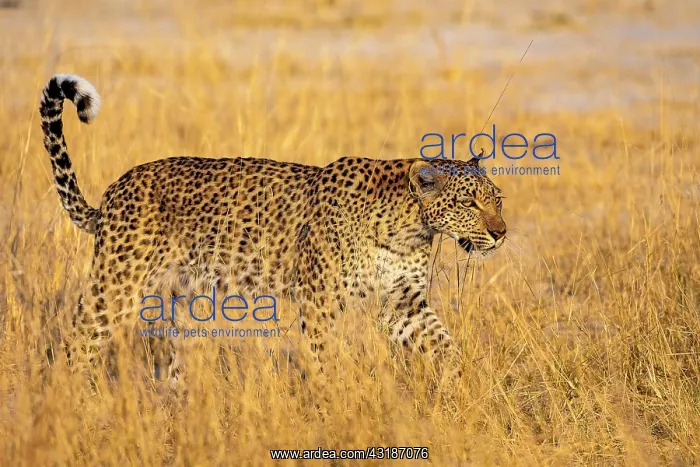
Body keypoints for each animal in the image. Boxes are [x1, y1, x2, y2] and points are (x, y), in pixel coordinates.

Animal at [39, 73, 507, 390]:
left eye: (497, 199)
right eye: (469, 203)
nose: (501, 233)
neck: (407, 228)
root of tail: (112, 192)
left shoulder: (403, 302)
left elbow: (445, 344)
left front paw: (464, 384)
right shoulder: (319, 303)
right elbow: (324, 360)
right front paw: (335, 403)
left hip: (181, 301)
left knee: (169, 357)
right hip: (116, 284)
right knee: (77, 340)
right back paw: (69, 402)